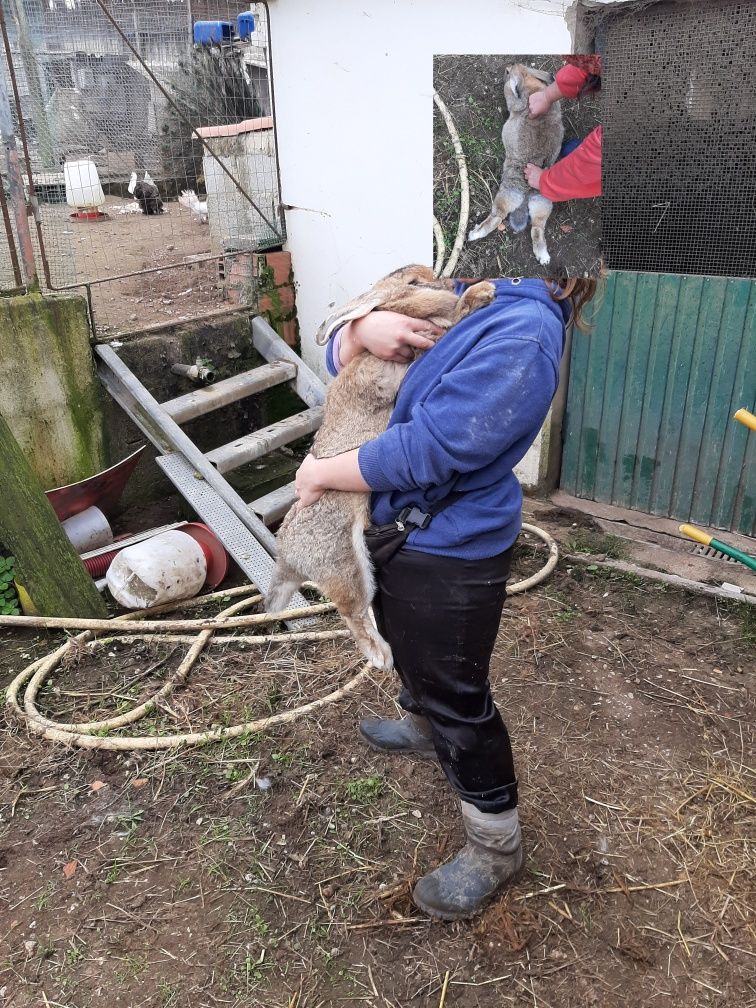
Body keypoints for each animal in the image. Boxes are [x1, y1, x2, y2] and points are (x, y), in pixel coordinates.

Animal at [266, 266, 497, 669]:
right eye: (414, 284)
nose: (447, 282)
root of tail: (288, 558)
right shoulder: (417, 348)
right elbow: (454, 322)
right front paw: (482, 294)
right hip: (345, 563)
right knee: (351, 611)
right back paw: (381, 656)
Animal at [471, 64, 564, 266]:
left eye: (508, 73)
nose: (508, 68)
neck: (531, 84)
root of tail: (527, 194)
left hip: (506, 195)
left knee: (497, 217)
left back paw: (474, 234)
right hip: (543, 204)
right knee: (537, 229)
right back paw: (543, 257)